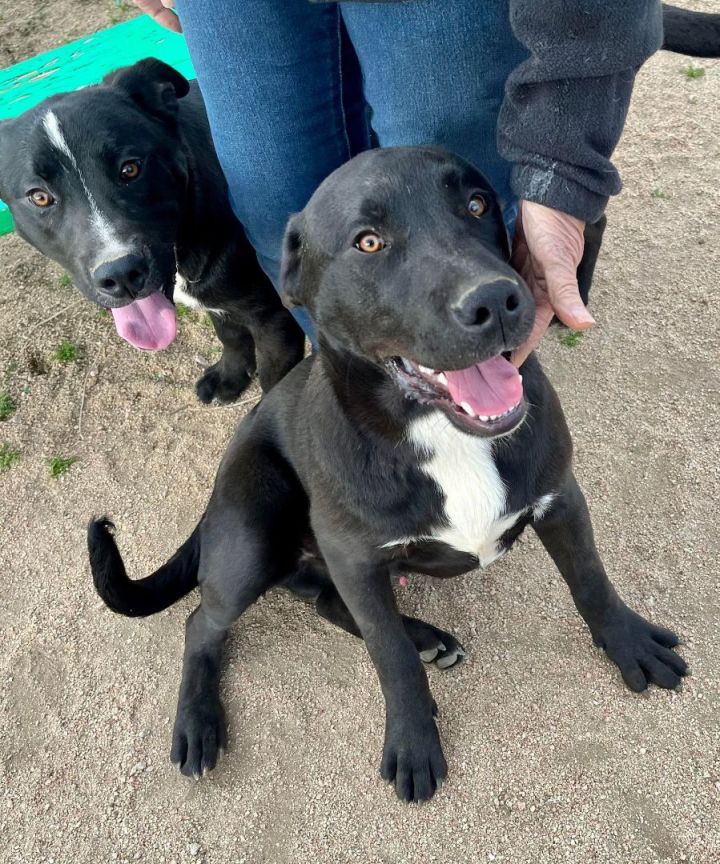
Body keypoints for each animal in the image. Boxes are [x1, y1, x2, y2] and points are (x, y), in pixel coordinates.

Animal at [0, 59, 304, 404]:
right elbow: (230, 334)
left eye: (130, 168)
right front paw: (230, 376)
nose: (120, 275)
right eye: (39, 196)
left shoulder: (275, 320)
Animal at [87, 148, 688, 804]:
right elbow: (388, 655)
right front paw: (413, 739)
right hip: (252, 535)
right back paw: (198, 722)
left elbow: (591, 581)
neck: (440, 434)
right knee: (203, 623)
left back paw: (424, 636)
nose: (497, 300)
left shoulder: (560, 497)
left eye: (477, 204)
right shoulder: (357, 560)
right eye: (368, 242)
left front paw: (629, 643)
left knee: (323, 600)